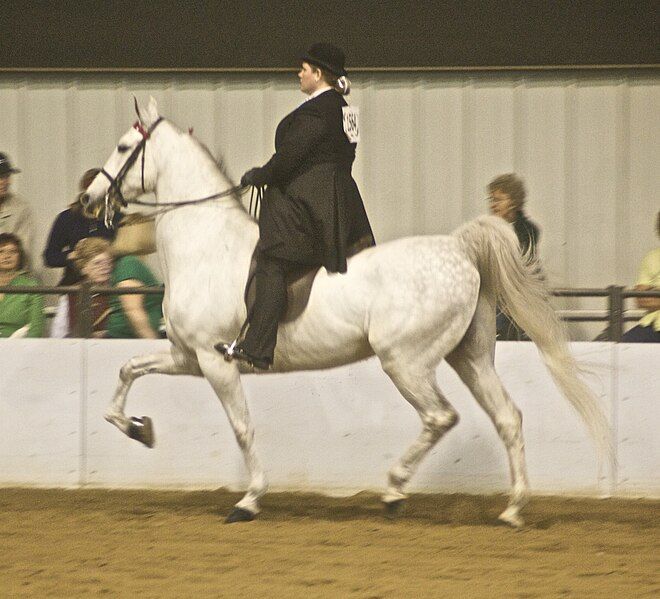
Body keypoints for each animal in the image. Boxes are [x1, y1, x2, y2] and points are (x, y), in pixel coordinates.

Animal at [85, 97, 612, 524]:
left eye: (123, 146)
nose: (89, 199)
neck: (206, 246)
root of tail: (459, 248)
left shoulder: (216, 361)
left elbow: (241, 427)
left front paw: (249, 501)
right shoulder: (187, 356)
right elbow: (128, 368)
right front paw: (137, 430)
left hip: (406, 361)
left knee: (440, 417)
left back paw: (395, 491)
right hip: (470, 356)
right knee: (507, 417)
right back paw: (513, 509)